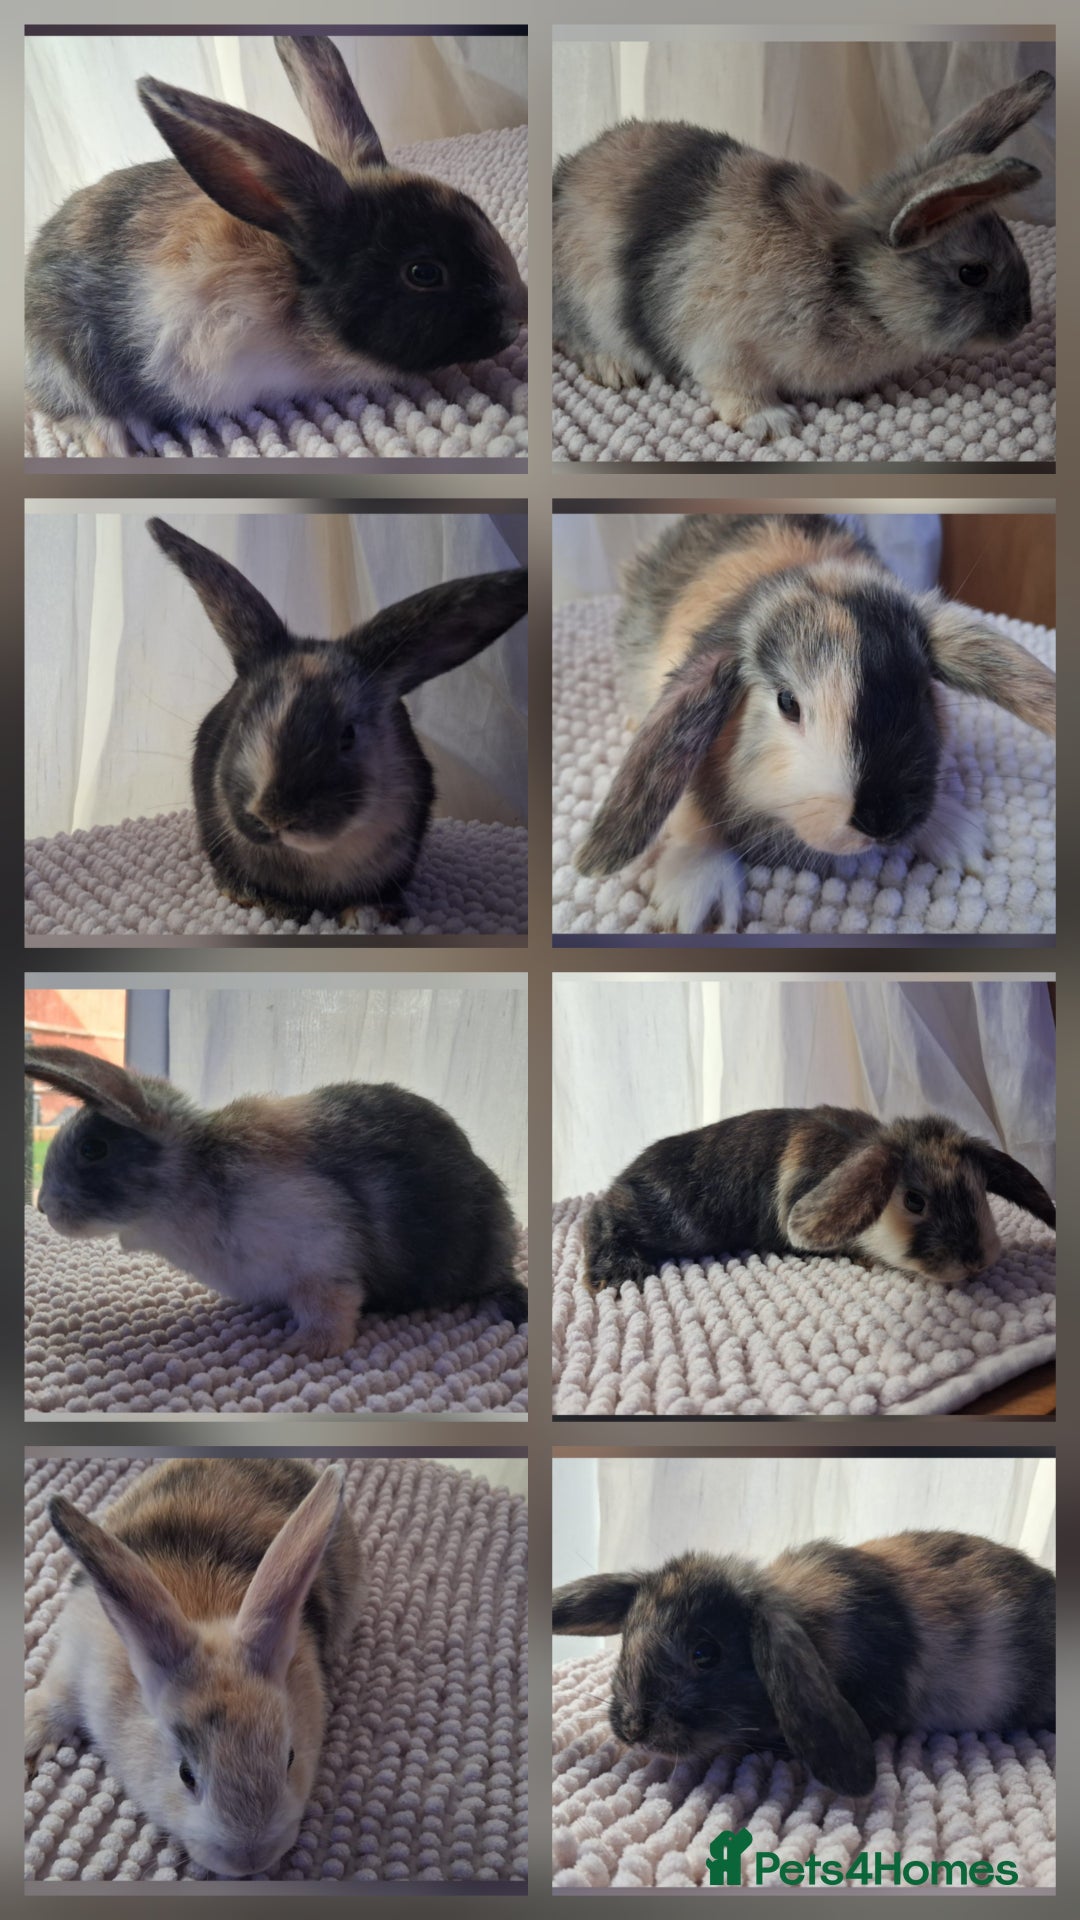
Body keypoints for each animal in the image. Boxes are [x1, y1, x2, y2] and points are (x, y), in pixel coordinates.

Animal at [25, 1044, 527, 1358]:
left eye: (93, 1149)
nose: (43, 1206)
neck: (193, 1177)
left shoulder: (321, 1256)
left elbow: (332, 1307)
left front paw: (305, 1348)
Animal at [26, 1458, 361, 1878]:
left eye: (290, 1757)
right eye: (186, 1774)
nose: (250, 1859)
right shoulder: (75, 1656)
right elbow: (55, 1699)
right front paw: (28, 1738)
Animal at [553, 70, 1053, 438]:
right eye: (973, 273)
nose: (1023, 320)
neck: (850, 281)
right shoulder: (722, 348)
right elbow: (735, 390)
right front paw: (773, 424)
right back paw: (614, 368)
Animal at [576, 514, 1056, 934]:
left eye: (923, 691)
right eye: (788, 703)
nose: (884, 821)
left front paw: (956, 833)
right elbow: (689, 809)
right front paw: (696, 895)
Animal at [582, 1105, 1056, 1293]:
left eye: (979, 1190)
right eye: (914, 1202)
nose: (975, 1261)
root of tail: (628, 1175)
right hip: (667, 1221)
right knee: (600, 1214)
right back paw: (617, 1272)